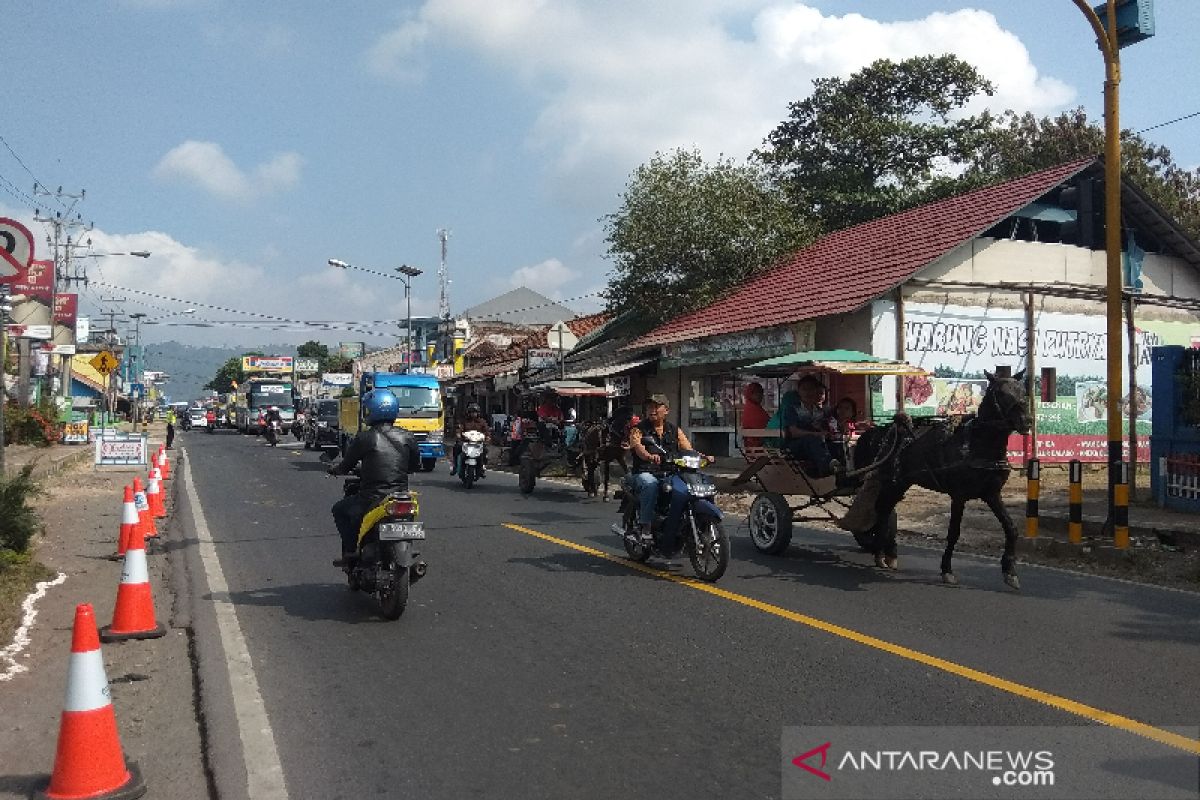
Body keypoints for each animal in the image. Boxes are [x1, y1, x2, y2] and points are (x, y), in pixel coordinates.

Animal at [854, 371, 1032, 587]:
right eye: (1001, 393)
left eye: (1023, 391)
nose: (1027, 420)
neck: (977, 445)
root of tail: (882, 431)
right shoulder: (959, 495)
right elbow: (953, 532)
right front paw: (946, 569)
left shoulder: (991, 493)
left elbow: (1011, 528)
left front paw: (1010, 571)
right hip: (890, 482)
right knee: (882, 510)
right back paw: (880, 551)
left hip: (901, 483)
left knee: (885, 511)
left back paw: (887, 553)